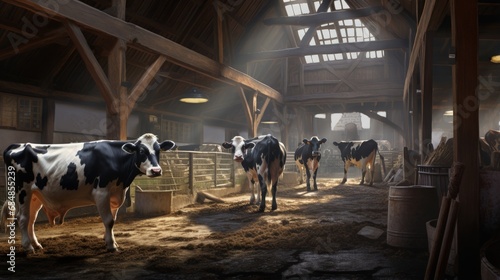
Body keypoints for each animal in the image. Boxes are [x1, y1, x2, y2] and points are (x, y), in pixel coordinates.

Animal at [1, 132, 176, 253]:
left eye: (158, 150)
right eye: (141, 151)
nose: (156, 171)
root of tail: (17, 145)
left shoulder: (115, 194)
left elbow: (113, 219)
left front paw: (111, 241)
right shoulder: (101, 193)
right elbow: (108, 221)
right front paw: (111, 246)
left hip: (35, 195)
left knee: (31, 219)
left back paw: (36, 244)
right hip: (22, 191)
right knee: (22, 218)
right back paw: (28, 247)